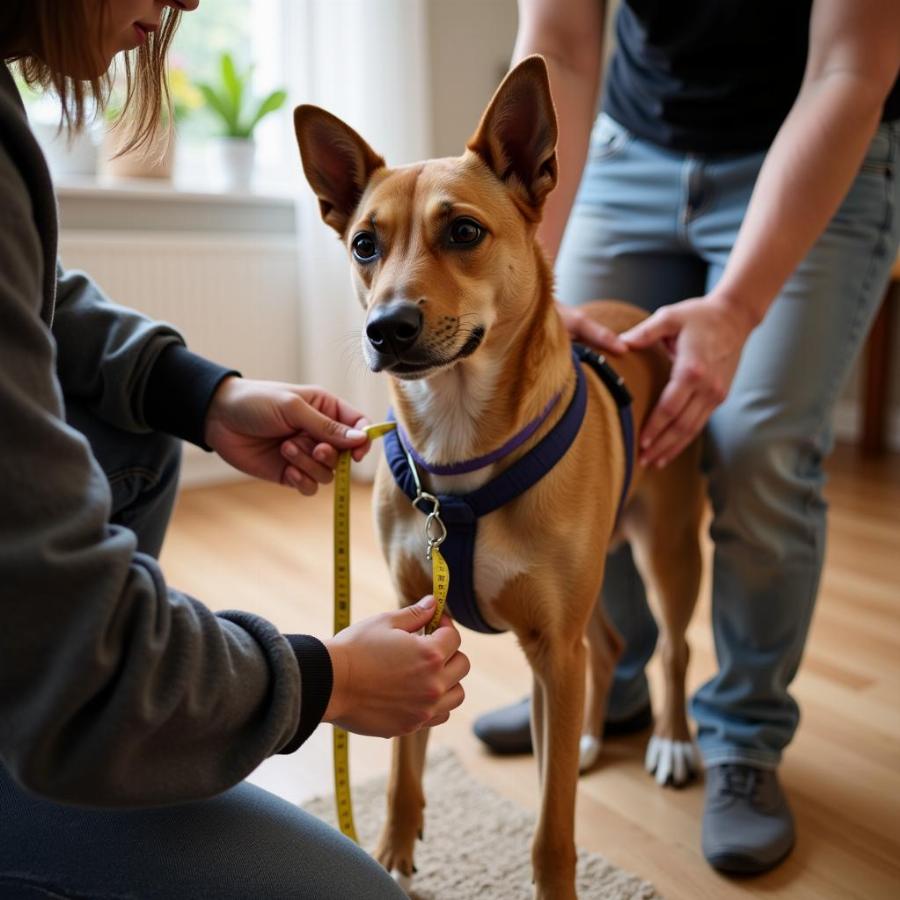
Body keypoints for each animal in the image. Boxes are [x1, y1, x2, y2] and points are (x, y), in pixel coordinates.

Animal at [296, 56, 704, 900]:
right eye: (363, 244)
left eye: (464, 232)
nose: (386, 328)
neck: (456, 445)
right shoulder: (418, 623)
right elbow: (404, 765)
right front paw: (392, 854)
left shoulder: (551, 644)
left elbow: (553, 824)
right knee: (609, 646)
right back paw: (585, 741)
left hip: (667, 550)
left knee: (674, 649)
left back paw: (674, 742)